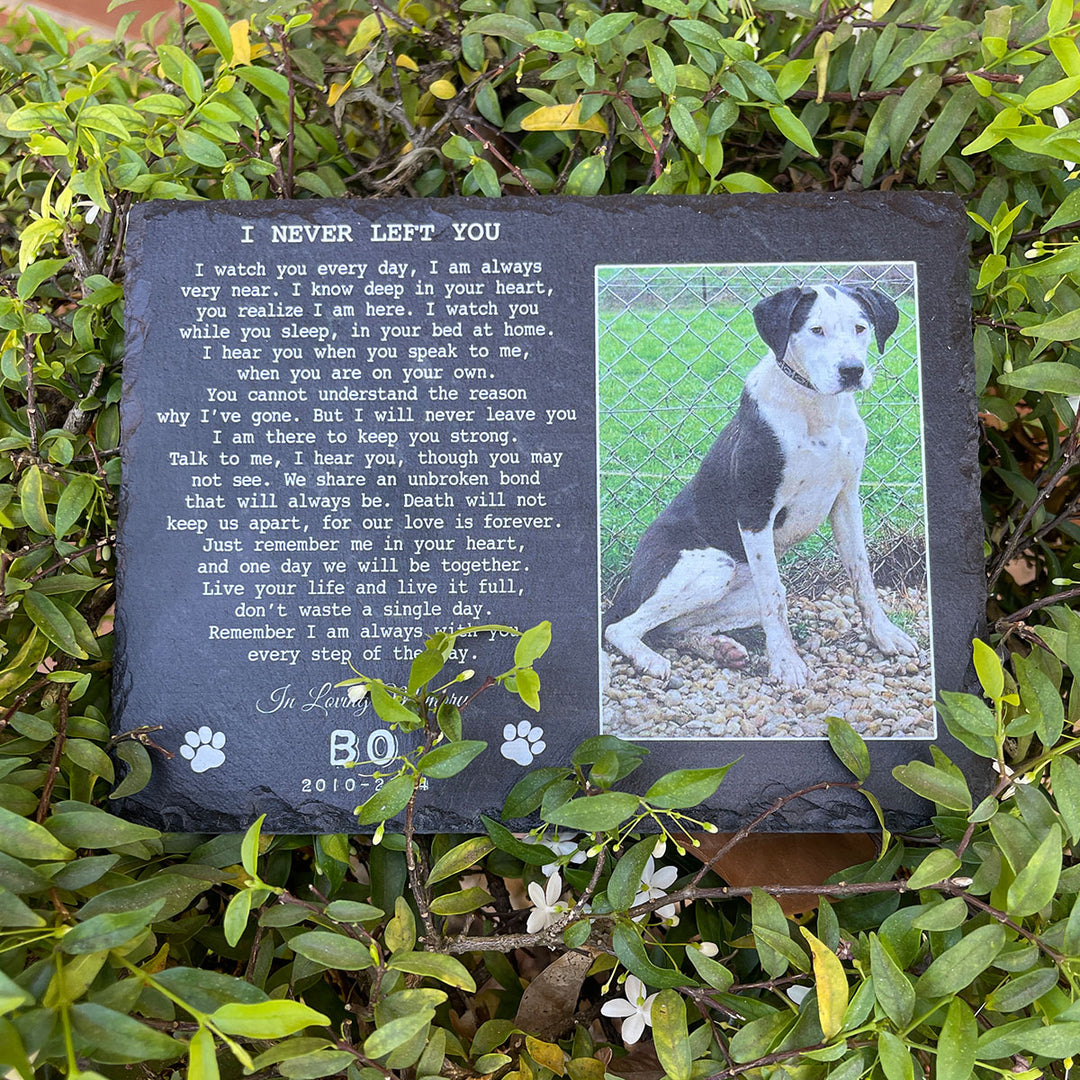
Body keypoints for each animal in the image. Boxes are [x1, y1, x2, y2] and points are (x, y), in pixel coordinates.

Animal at [604, 285, 915, 691]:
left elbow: (862, 575)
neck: (816, 407)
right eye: (816, 330)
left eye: (860, 327)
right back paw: (651, 659)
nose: (852, 371)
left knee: (670, 629)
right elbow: (775, 598)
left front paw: (884, 635)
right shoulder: (755, 511)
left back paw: (718, 648)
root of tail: (629, 583)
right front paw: (786, 663)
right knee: (621, 628)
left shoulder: (846, 500)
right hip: (712, 567)